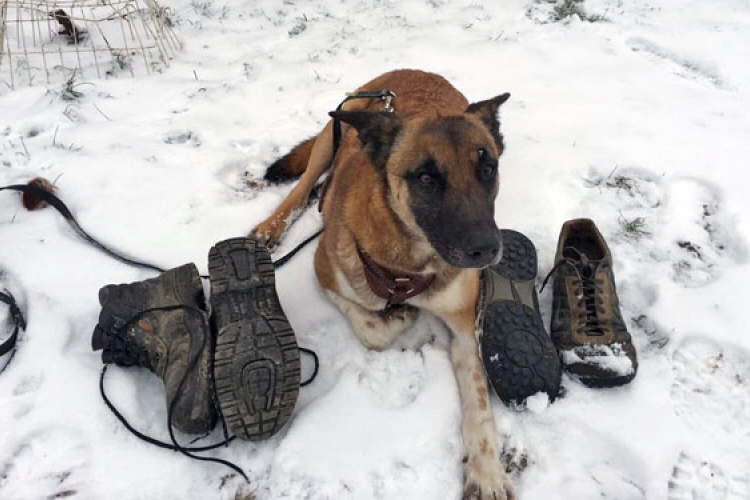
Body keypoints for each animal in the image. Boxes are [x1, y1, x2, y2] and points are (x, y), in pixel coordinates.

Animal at [256, 69, 516, 500]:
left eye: (488, 168)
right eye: (426, 177)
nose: (487, 249)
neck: (412, 261)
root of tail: (409, 72)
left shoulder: (464, 326)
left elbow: (478, 404)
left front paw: (487, 472)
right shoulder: (325, 270)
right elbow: (371, 329)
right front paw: (399, 318)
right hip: (331, 138)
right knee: (301, 187)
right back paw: (272, 225)